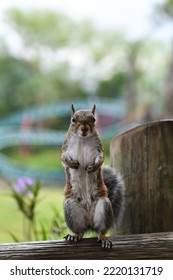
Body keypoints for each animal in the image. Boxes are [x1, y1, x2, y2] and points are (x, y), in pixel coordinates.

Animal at [60, 104, 124, 249]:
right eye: (73, 120)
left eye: (94, 119)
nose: (84, 128)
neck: (83, 139)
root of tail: (89, 223)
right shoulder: (66, 147)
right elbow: (63, 157)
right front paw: (72, 164)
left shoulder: (99, 148)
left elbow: (100, 159)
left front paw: (93, 168)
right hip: (71, 207)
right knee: (80, 231)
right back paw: (75, 236)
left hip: (104, 206)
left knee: (101, 230)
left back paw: (103, 238)